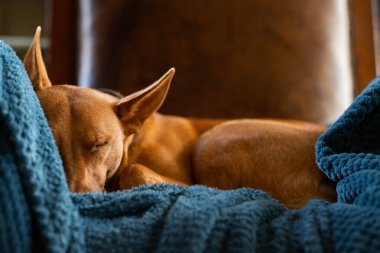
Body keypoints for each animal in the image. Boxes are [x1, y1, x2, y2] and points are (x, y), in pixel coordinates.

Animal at [23, 27, 336, 209]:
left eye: (100, 145)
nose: (78, 198)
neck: (133, 142)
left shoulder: (184, 181)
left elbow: (134, 170)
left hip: (216, 140)